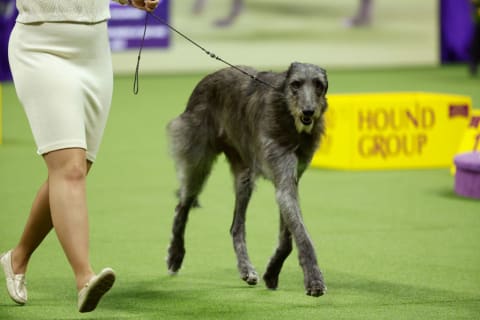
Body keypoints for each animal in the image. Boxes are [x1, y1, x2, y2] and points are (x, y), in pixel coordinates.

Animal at [167, 61, 328, 296]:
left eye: (319, 85)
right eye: (296, 84)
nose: (308, 111)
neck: (288, 117)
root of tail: (209, 77)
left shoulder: (289, 179)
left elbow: (288, 237)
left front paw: (272, 271)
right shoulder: (281, 167)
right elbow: (302, 235)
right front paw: (314, 279)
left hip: (244, 173)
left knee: (236, 226)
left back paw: (246, 269)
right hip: (198, 160)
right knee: (182, 206)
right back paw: (175, 254)